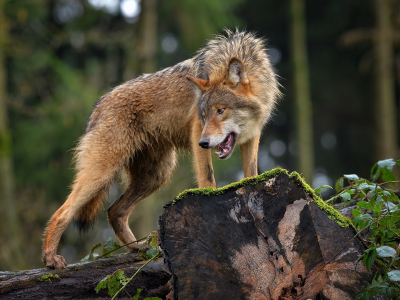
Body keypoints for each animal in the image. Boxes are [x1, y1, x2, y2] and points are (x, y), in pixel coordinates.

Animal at [40, 29, 280, 270]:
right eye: (203, 115)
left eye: (221, 111)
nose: (204, 143)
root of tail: (99, 105)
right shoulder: (196, 132)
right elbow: (208, 179)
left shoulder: (252, 137)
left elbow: (251, 174)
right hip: (103, 174)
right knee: (62, 213)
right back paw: (50, 258)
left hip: (156, 176)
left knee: (114, 211)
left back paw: (140, 249)